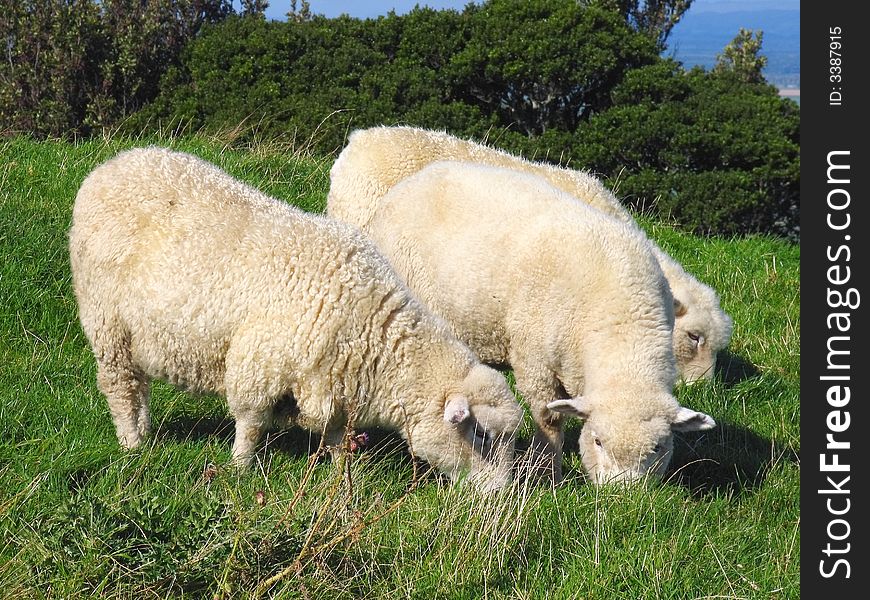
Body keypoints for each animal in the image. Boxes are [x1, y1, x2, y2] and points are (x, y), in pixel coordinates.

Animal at [70, 146, 524, 492]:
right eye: (481, 435)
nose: (501, 493)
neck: (371, 328)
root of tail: (114, 165)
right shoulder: (260, 363)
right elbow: (251, 422)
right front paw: (239, 467)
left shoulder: (336, 383)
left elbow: (337, 436)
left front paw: (343, 473)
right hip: (107, 323)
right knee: (120, 386)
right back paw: (132, 444)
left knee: (139, 386)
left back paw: (145, 430)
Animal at [358, 162, 720, 486]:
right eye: (598, 441)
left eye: (658, 447)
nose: (621, 497)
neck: (622, 323)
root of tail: (415, 180)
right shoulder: (536, 363)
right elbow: (549, 419)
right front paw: (549, 475)